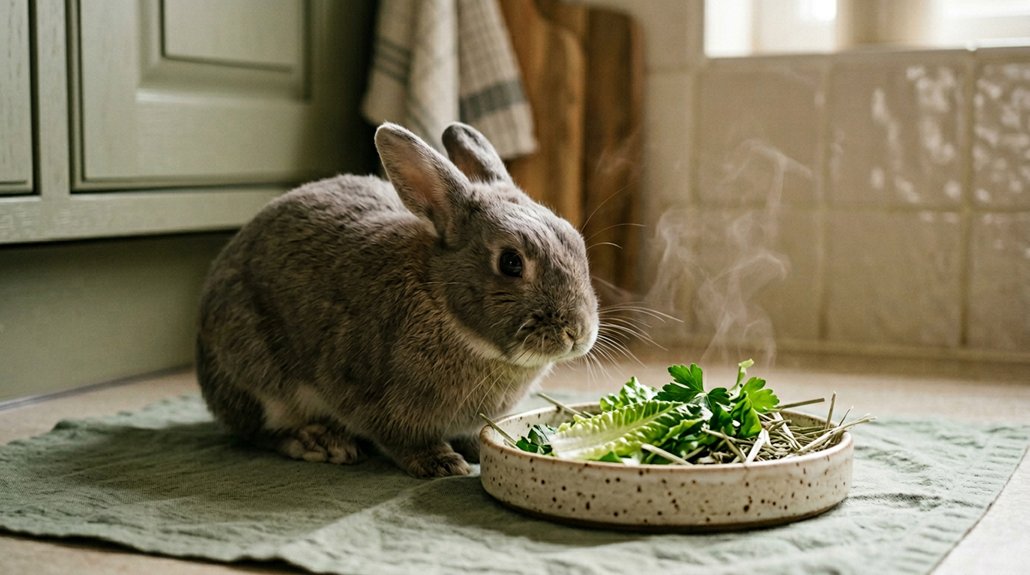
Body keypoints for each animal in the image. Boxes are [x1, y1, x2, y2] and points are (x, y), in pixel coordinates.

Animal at [196, 122, 599, 478]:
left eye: (575, 242)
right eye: (511, 263)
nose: (576, 333)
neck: (439, 297)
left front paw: (476, 446)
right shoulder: (369, 395)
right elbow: (401, 439)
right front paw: (440, 463)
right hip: (256, 373)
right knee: (259, 432)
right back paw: (320, 442)